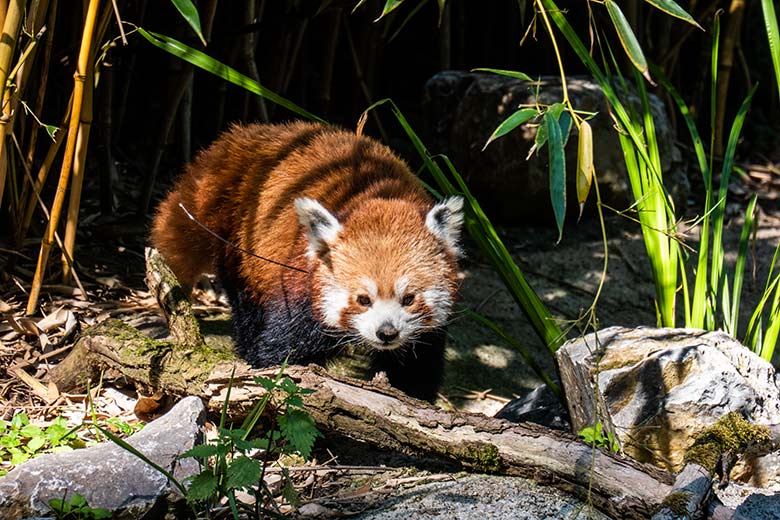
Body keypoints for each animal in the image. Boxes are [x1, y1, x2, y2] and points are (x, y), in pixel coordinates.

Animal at [151, 121, 464, 398]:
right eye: (363, 299)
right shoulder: (299, 288)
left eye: (409, 298)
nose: (386, 333)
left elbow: (414, 369)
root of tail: (245, 139)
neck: (382, 196)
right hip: (240, 245)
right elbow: (282, 350)